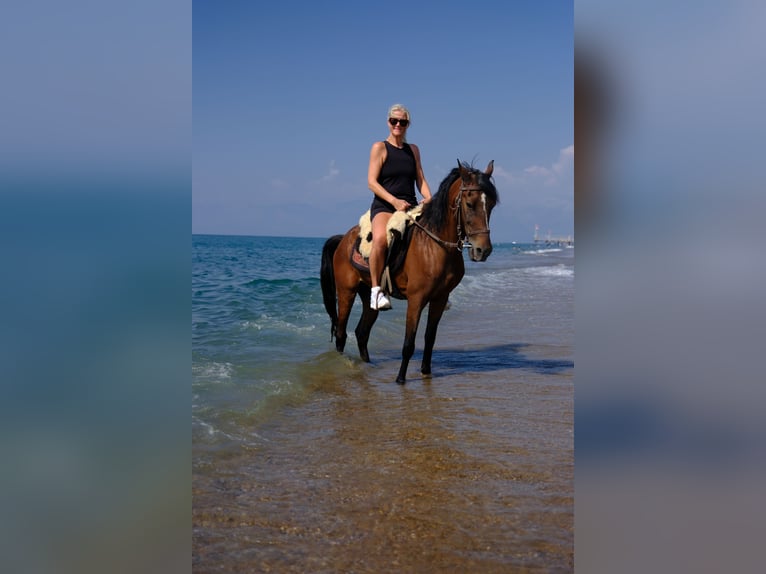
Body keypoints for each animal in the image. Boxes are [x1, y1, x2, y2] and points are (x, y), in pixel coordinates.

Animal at [320, 160, 498, 384]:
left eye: (491, 204)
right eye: (469, 204)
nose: (483, 250)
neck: (434, 245)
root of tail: (343, 239)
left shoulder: (439, 298)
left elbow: (430, 338)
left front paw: (426, 373)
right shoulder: (416, 299)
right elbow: (409, 342)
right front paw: (400, 379)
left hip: (367, 295)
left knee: (362, 333)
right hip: (346, 292)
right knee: (342, 334)